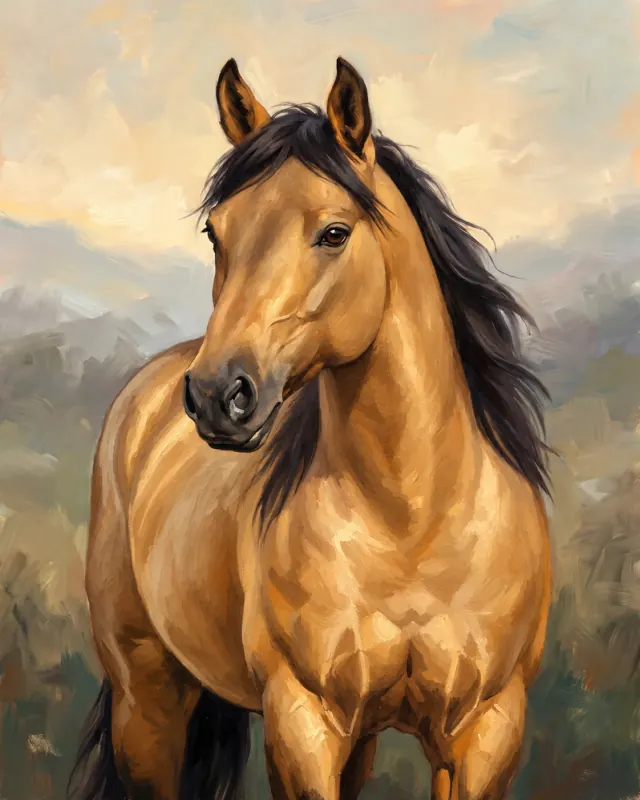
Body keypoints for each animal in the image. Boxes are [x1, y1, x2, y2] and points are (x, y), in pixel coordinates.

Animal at [69, 56, 552, 800]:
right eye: (216, 233)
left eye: (334, 233)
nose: (219, 396)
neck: (410, 521)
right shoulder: (304, 722)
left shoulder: (486, 732)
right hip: (145, 699)